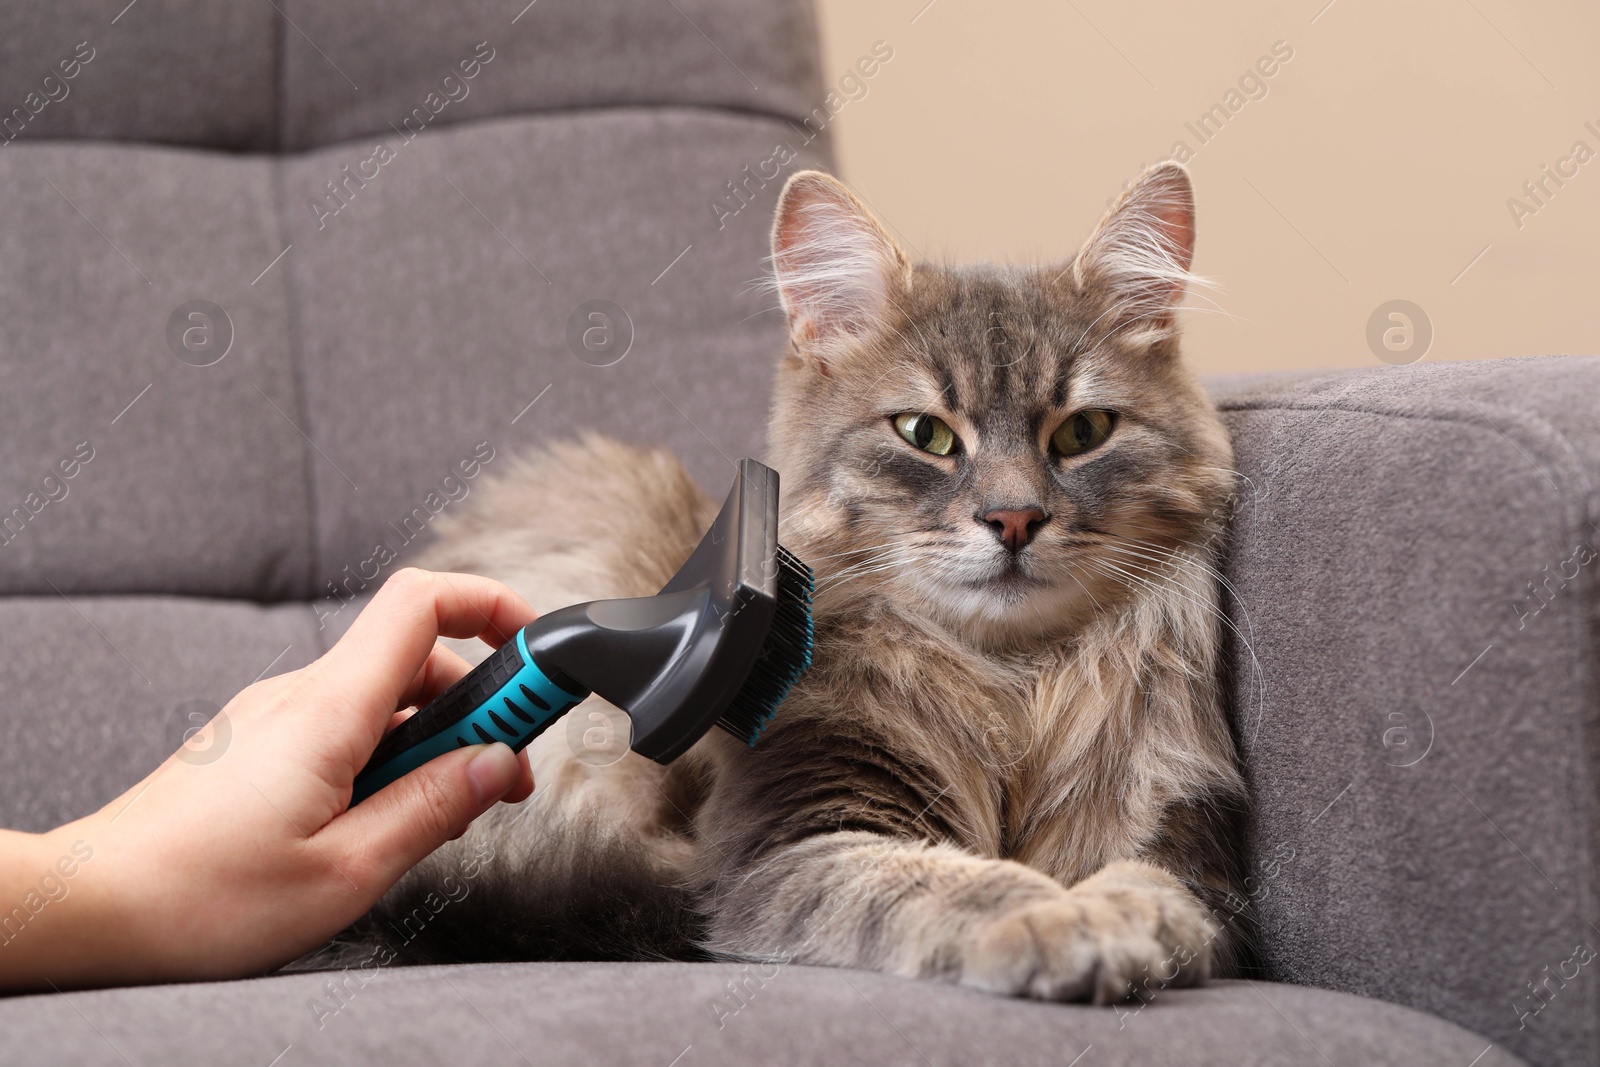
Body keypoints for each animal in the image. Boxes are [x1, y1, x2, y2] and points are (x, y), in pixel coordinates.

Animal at [312, 163, 1254, 1004]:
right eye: (925, 434)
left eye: (1083, 432)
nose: (1015, 518)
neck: (1013, 680)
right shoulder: (794, 840)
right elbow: (946, 881)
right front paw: (1067, 921)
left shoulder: (1183, 837)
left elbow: (1157, 882)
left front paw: (1137, 913)